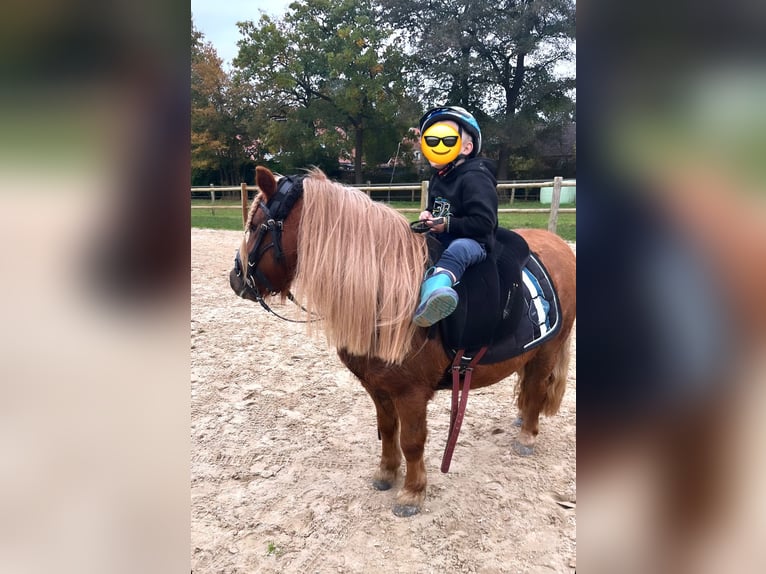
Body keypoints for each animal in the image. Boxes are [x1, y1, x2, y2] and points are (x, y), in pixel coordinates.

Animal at [231, 165, 580, 516]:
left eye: (256, 226)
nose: (236, 278)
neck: (385, 292)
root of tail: (560, 245)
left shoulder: (410, 393)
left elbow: (412, 441)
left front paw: (412, 492)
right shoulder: (378, 387)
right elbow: (387, 431)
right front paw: (386, 473)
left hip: (548, 349)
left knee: (537, 386)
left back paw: (527, 436)